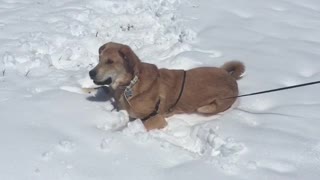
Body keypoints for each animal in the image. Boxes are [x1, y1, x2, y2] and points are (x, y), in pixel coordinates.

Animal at [89, 42, 244, 130]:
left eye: (110, 61)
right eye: (99, 59)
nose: (90, 73)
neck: (131, 83)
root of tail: (231, 78)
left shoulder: (154, 119)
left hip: (208, 107)